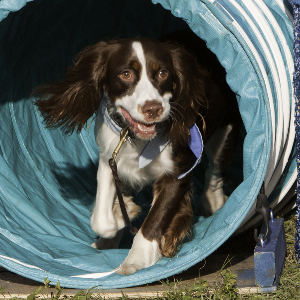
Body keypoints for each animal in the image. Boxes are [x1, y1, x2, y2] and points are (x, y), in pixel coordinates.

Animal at [34, 36, 241, 276]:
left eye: (163, 73)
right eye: (126, 74)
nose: (153, 109)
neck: (137, 138)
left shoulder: (176, 173)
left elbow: (154, 221)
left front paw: (136, 259)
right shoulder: (109, 158)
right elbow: (100, 219)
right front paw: (122, 212)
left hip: (226, 128)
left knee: (215, 169)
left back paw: (214, 203)